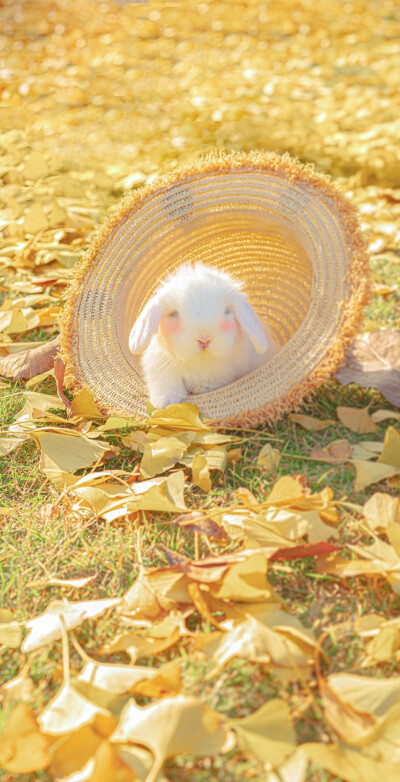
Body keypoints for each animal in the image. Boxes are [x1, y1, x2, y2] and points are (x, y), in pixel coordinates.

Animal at [130, 264, 280, 410]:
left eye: (227, 312)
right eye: (174, 314)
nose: (204, 339)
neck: (200, 360)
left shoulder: (226, 375)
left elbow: (215, 382)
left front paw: (200, 388)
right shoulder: (160, 369)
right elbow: (167, 386)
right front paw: (164, 404)